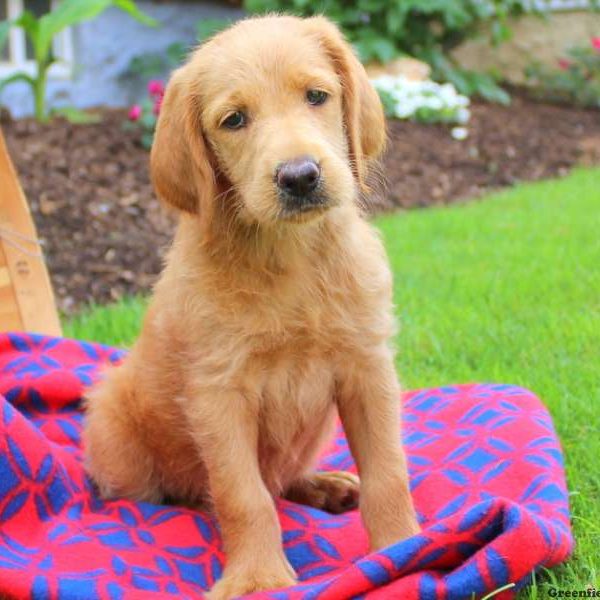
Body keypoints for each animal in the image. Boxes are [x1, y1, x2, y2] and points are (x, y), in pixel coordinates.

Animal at [84, 15, 420, 600]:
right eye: (234, 120)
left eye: (317, 96)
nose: (300, 176)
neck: (290, 256)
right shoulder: (219, 395)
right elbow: (244, 495)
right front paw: (258, 577)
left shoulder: (367, 368)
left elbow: (388, 470)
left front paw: (402, 546)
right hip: (114, 429)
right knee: (191, 491)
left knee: (284, 477)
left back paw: (326, 485)